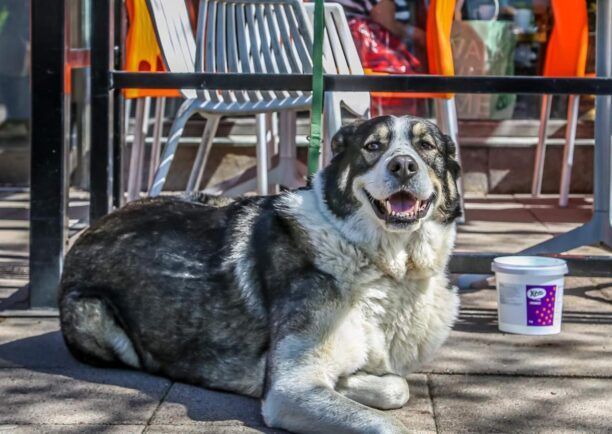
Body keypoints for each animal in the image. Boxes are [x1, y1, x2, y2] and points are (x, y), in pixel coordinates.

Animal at [59, 115, 462, 434]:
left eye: (426, 146)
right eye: (373, 146)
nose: (403, 166)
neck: (385, 264)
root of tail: (90, 230)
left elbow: (396, 386)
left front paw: (351, 381)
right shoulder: (290, 390)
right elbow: (389, 419)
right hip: (92, 315)